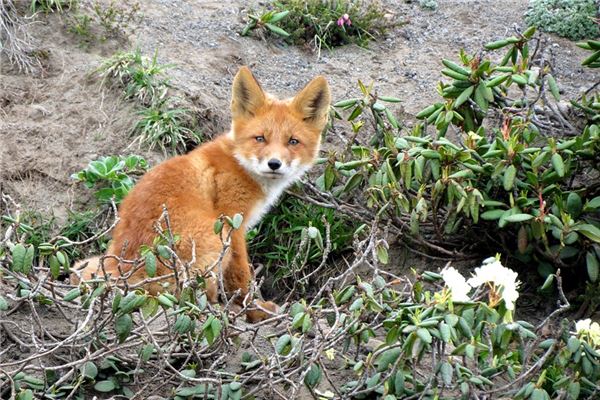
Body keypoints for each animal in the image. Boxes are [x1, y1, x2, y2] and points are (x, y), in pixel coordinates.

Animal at [73, 65, 332, 322]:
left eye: (293, 141)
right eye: (260, 138)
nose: (274, 164)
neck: (239, 164)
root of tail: (128, 269)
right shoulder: (232, 223)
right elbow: (241, 275)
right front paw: (254, 309)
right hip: (213, 239)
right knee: (188, 296)